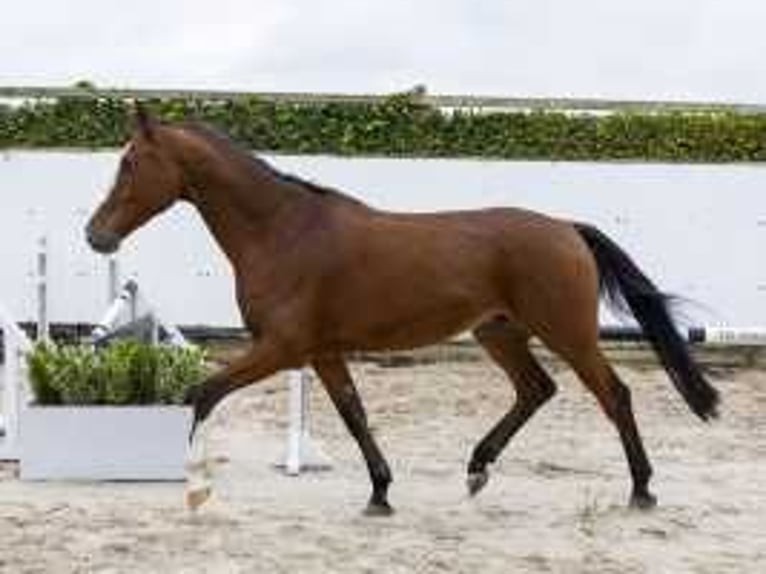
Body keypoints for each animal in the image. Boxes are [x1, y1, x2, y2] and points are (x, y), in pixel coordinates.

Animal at [87, 108, 724, 516]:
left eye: (130, 163)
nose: (96, 235)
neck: (282, 231)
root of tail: (567, 229)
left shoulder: (281, 348)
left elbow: (202, 394)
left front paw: (191, 487)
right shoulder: (321, 352)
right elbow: (355, 415)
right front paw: (380, 493)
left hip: (568, 333)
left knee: (614, 394)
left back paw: (641, 490)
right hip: (500, 334)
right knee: (536, 390)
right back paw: (477, 469)